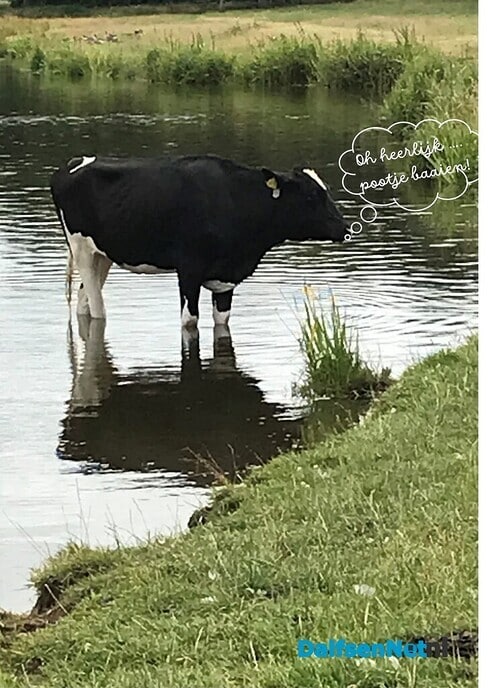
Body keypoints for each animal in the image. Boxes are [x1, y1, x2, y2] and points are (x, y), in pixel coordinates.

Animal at [50, 154, 349, 328]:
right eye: (310, 196)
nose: (345, 227)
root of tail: (72, 164)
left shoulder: (226, 276)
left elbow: (222, 321)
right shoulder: (189, 269)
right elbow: (189, 322)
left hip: (104, 254)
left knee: (83, 299)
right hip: (80, 249)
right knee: (96, 307)